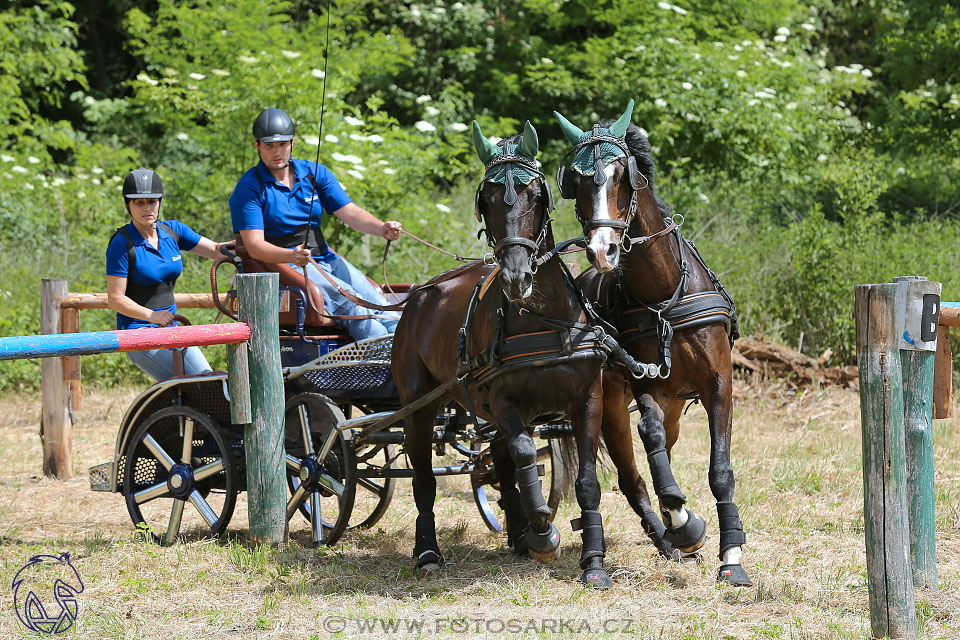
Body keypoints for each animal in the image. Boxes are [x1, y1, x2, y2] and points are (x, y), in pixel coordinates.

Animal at [394, 119, 620, 584]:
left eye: (536, 195)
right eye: (487, 200)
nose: (516, 277)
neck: (544, 319)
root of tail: (418, 296)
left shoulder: (587, 399)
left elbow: (584, 480)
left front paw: (592, 561)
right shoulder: (504, 401)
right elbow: (524, 455)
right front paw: (545, 535)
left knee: (498, 462)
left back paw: (517, 534)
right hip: (419, 408)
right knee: (425, 479)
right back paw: (428, 551)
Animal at [552, 100, 752, 584]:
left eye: (621, 174)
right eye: (576, 183)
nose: (601, 250)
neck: (663, 296)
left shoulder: (719, 382)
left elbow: (720, 469)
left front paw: (732, 555)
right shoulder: (647, 384)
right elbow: (651, 433)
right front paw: (682, 517)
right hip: (606, 406)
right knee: (632, 475)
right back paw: (669, 535)